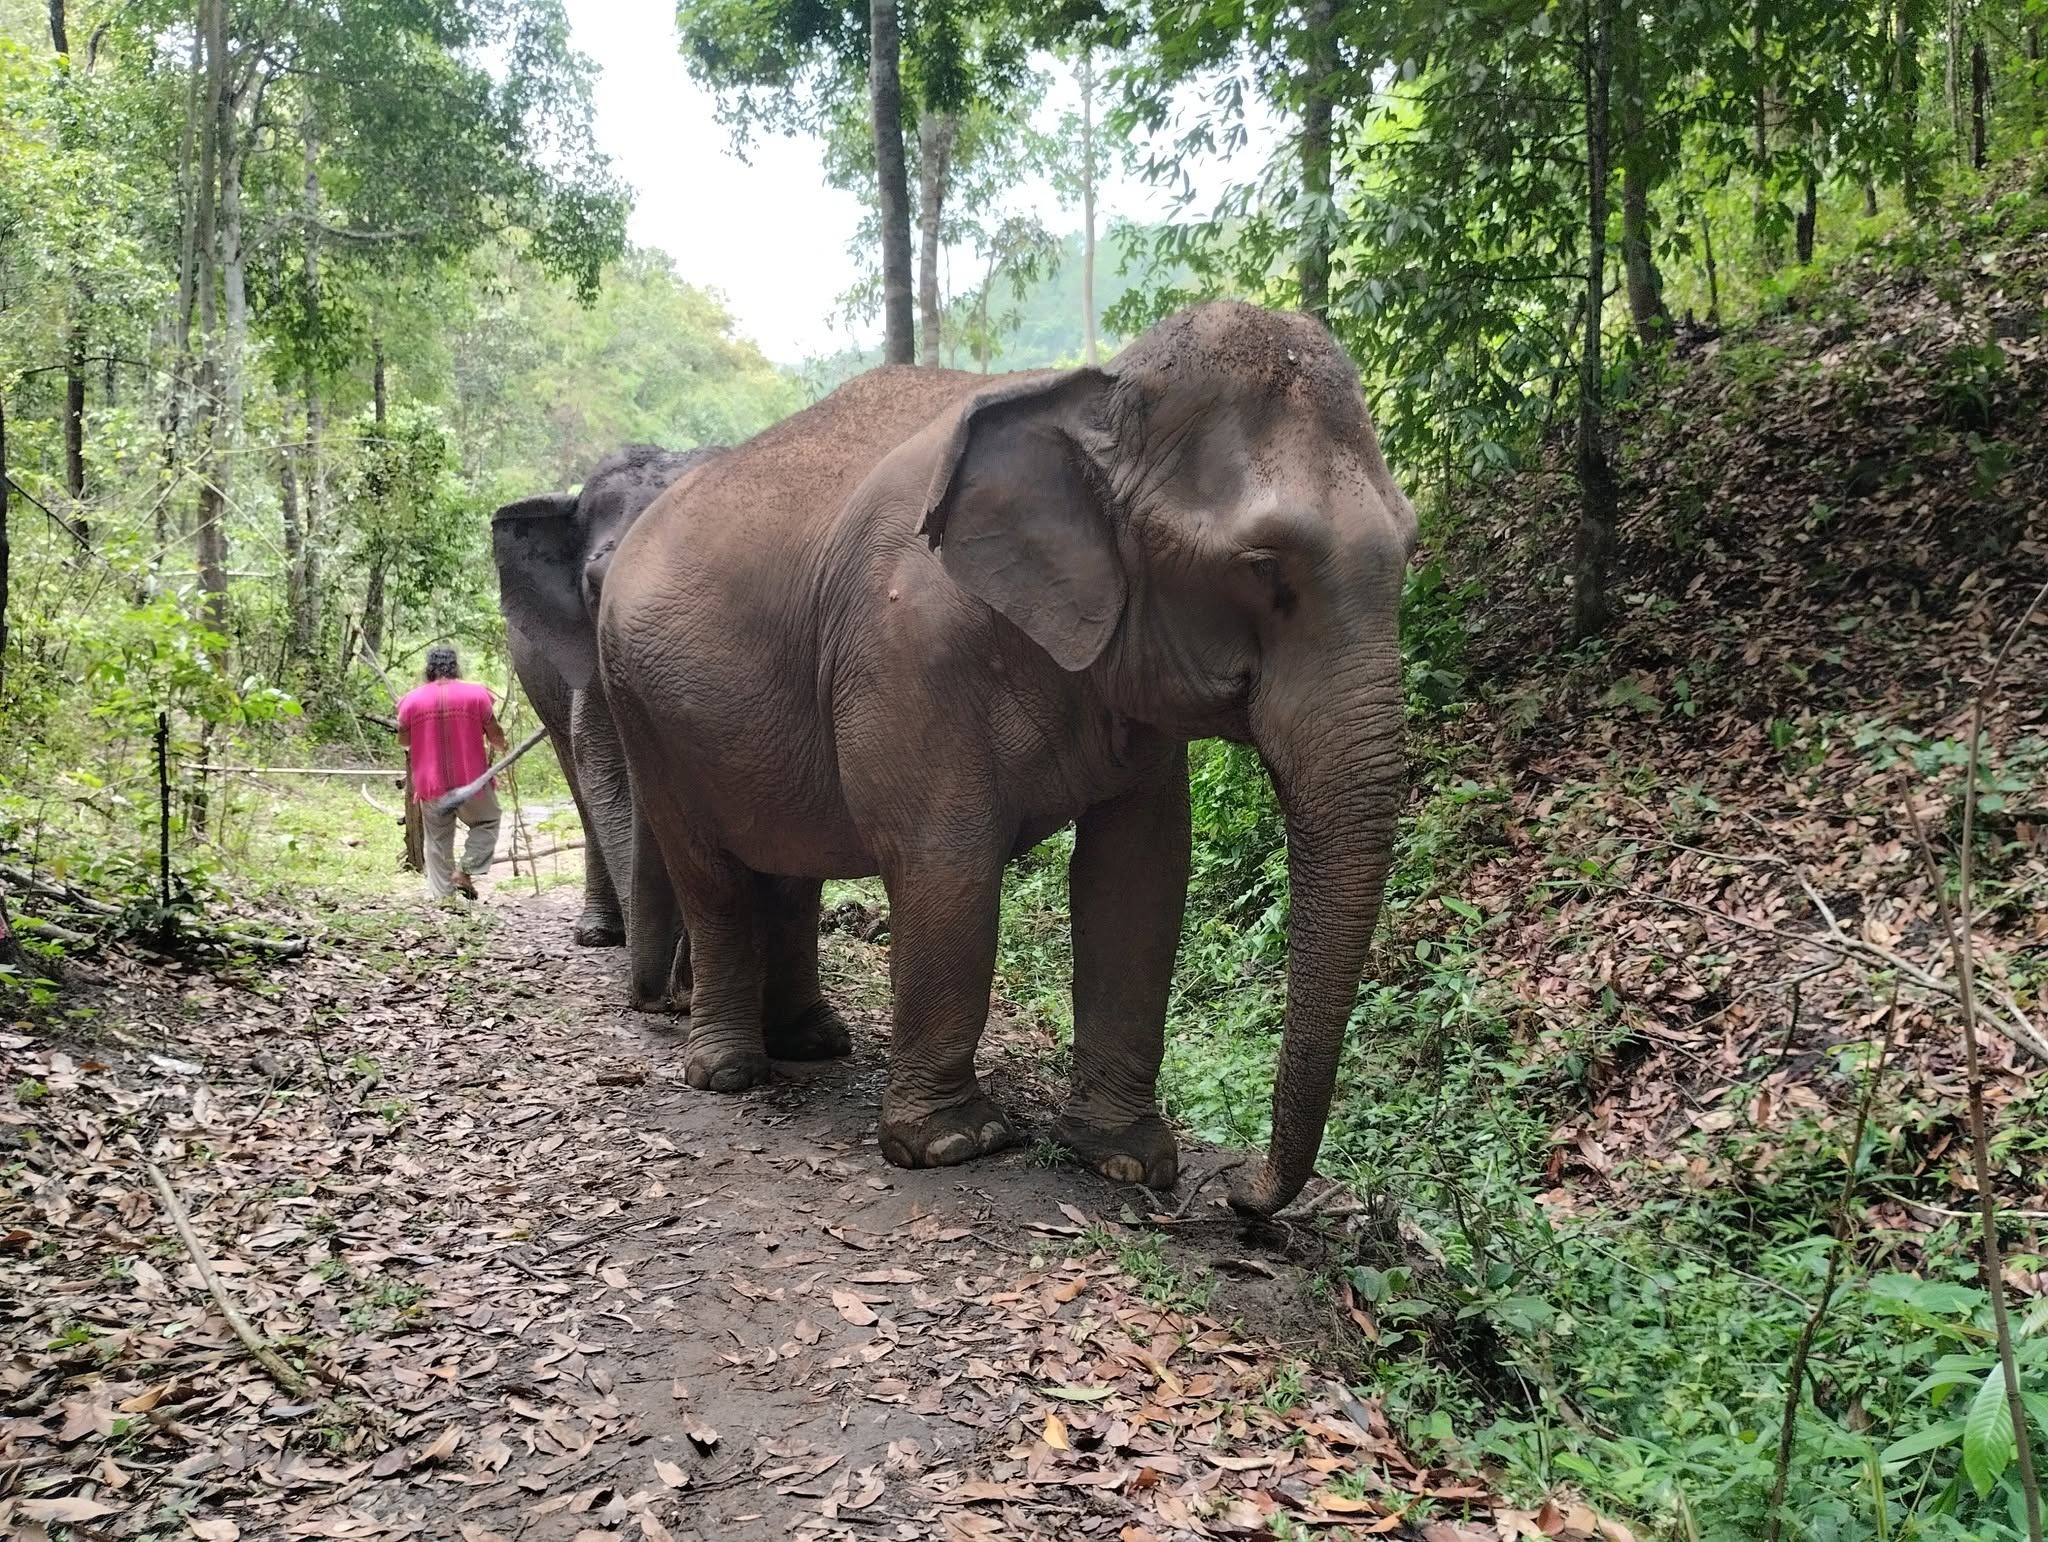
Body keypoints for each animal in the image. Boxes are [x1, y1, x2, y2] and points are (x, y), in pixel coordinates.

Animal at [590, 302, 1416, 1217]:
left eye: (1412, 549)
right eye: (1263, 566)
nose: (1239, 1191)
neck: (1096, 391)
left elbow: (1140, 873)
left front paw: (1126, 1161)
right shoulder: (904, 649)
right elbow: (948, 861)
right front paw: (954, 1144)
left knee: (786, 865)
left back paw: (814, 1043)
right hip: (643, 710)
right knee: (713, 872)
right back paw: (730, 1074)